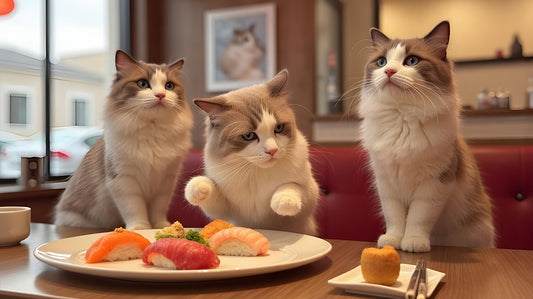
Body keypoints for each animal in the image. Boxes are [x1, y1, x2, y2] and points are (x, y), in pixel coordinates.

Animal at [55, 50, 192, 231]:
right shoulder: (124, 181)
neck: (152, 131)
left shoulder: (165, 182)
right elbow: (134, 209)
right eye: (143, 84)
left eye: (169, 86)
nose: (160, 95)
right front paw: (140, 229)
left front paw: (161, 227)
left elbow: (158, 211)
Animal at [183, 70, 318, 237]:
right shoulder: (225, 209)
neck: (255, 171)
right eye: (249, 136)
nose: (272, 150)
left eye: (278, 128)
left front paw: (283, 202)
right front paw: (196, 189)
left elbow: (292, 187)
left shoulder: (309, 194)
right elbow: (206, 185)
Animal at [358, 19, 494, 252]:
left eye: (412, 61)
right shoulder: (386, 182)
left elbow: (418, 217)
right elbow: (394, 217)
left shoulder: (434, 183)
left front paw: (413, 242)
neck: (402, 118)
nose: (389, 72)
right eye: (382, 62)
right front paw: (392, 240)